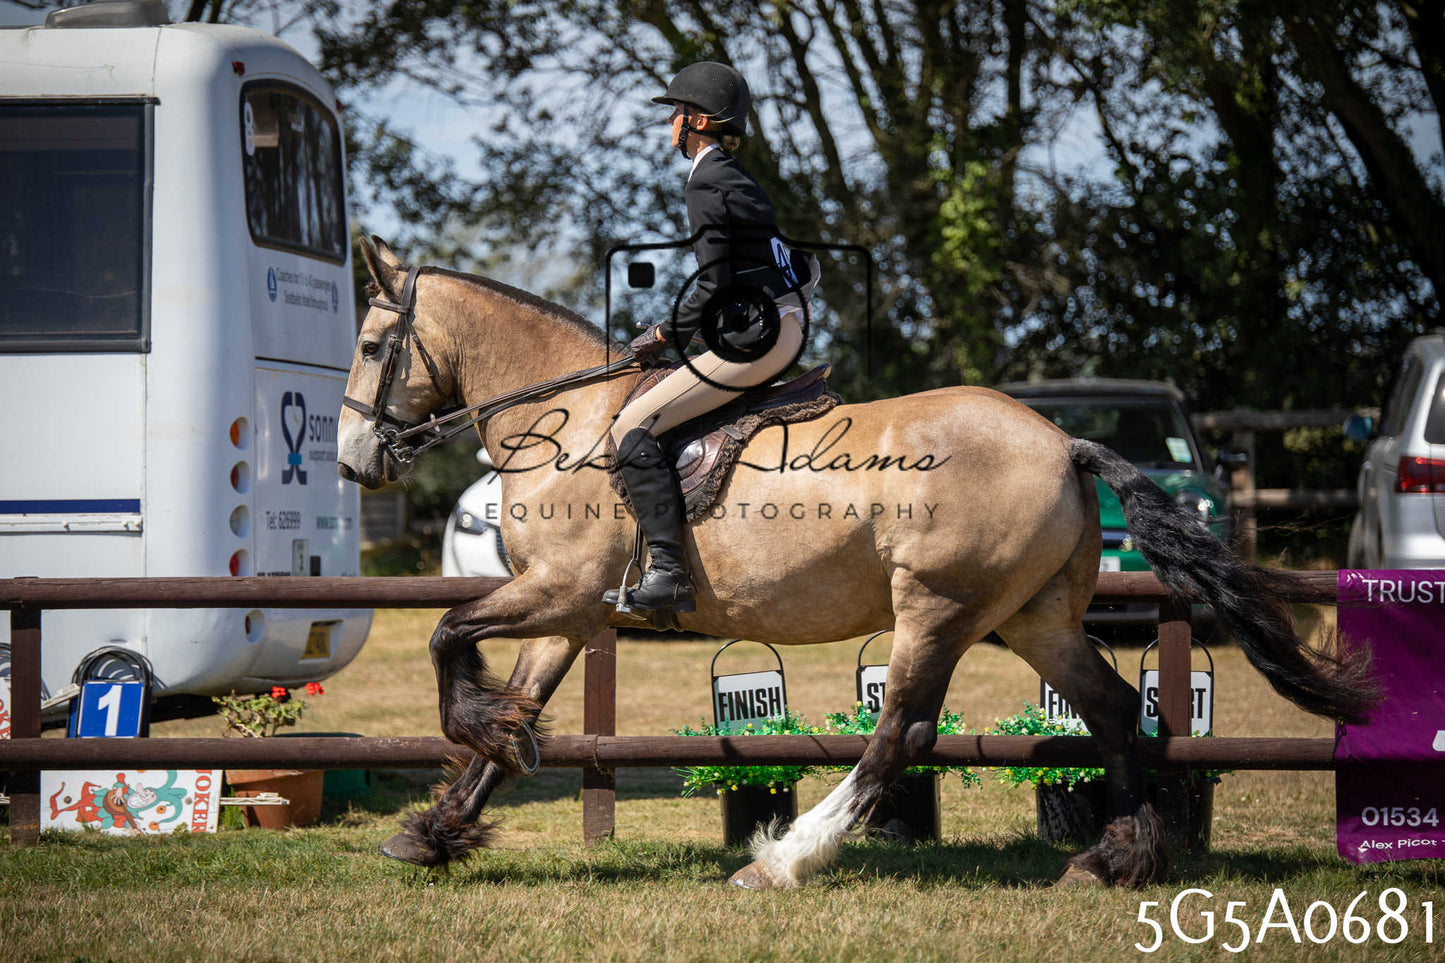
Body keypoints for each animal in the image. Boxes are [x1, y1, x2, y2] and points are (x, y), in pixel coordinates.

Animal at [337, 236, 1375, 889]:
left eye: (373, 345)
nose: (350, 462)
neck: (577, 423)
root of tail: (1061, 442)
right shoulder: (568, 610)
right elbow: (513, 694)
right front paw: (436, 827)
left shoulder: (557, 592)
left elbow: (445, 635)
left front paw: (476, 741)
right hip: (1033, 615)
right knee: (1114, 710)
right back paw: (1111, 860)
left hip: (937, 610)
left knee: (899, 733)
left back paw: (782, 859)